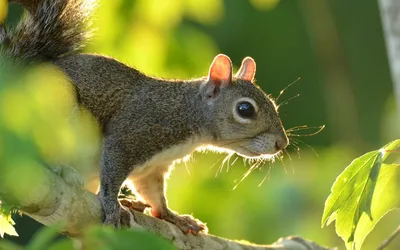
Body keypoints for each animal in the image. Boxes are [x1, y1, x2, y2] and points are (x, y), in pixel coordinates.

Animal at [0, 0, 288, 234]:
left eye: (273, 103)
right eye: (245, 109)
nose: (281, 144)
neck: (186, 113)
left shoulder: (152, 169)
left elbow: (154, 194)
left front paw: (174, 217)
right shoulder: (133, 132)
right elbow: (113, 172)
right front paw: (112, 205)